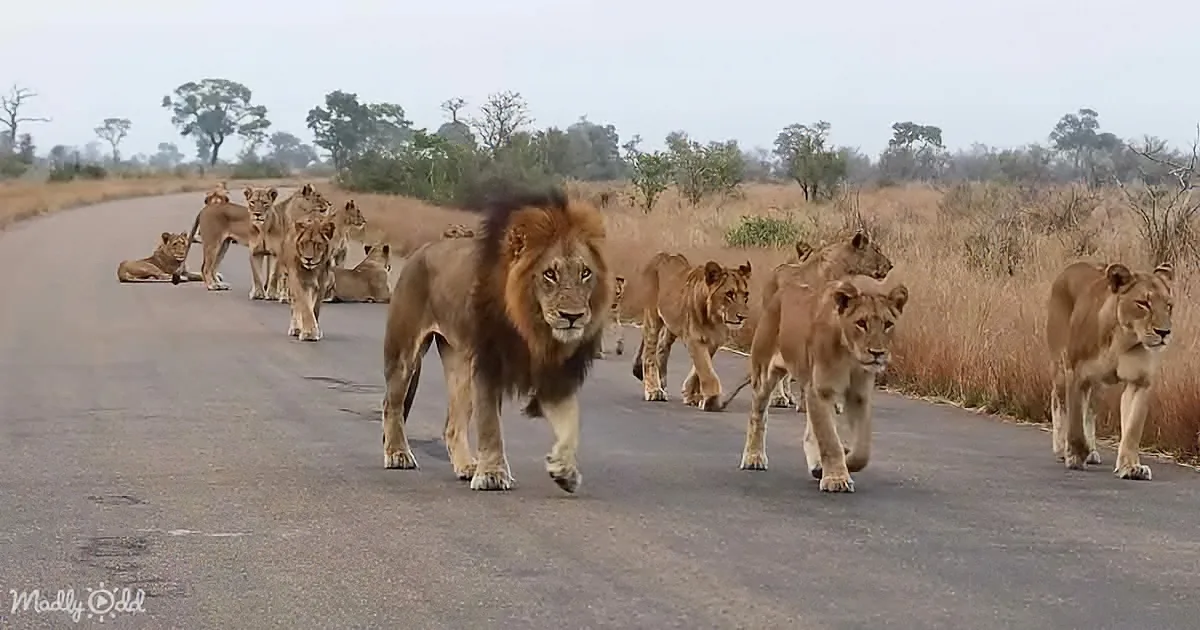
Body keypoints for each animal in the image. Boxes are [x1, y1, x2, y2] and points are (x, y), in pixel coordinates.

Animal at [380, 186, 612, 494]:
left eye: (585, 272)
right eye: (550, 274)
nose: (572, 316)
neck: (533, 328)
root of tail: (421, 251)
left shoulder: (555, 374)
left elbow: (572, 421)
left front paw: (564, 470)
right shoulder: (489, 365)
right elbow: (490, 424)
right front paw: (492, 474)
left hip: (460, 363)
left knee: (452, 425)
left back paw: (466, 466)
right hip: (404, 354)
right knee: (392, 404)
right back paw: (398, 454)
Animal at [630, 254, 752, 411]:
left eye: (746, 295)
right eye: (729, 294)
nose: (743, 317)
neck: (715, 319)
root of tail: (664, 255)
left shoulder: (713, 341)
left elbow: (698, 370)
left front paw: (691, 395)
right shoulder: (694, 339)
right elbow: (706, 370)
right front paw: (712, 400)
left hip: (671, 326)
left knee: (662, 348)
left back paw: (663, 385)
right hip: (653, 317)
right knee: (649, 353)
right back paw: (654, 390)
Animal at [723, 275, 908, 492]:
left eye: (888, 324)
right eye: (861, 323)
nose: (877, 353)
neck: (850, 356)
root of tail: (782, 291)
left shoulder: (858, 395)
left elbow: (862, 450)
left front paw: (838, 464)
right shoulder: (821, 391)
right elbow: (829, 440)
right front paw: (836, 478)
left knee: (810, 432)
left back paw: (817, 465)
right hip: (764, 373)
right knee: (757, 416)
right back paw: (754, 457)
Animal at [1045, 260, 1175, 481]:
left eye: (1168, 305)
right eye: (1143, 303)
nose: (1164, 332)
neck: (1124, 339)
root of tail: (1072, 266)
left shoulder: (1140, 382)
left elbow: (1132, 429)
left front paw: (1131, 467)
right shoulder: (1076, 373)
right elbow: (1075, 423)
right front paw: (1075, 456)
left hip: (1098, 385)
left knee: (1089, 411)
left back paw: (1091, 451)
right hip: (1061, 366)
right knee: (1059, 400)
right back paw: (1062, 448)